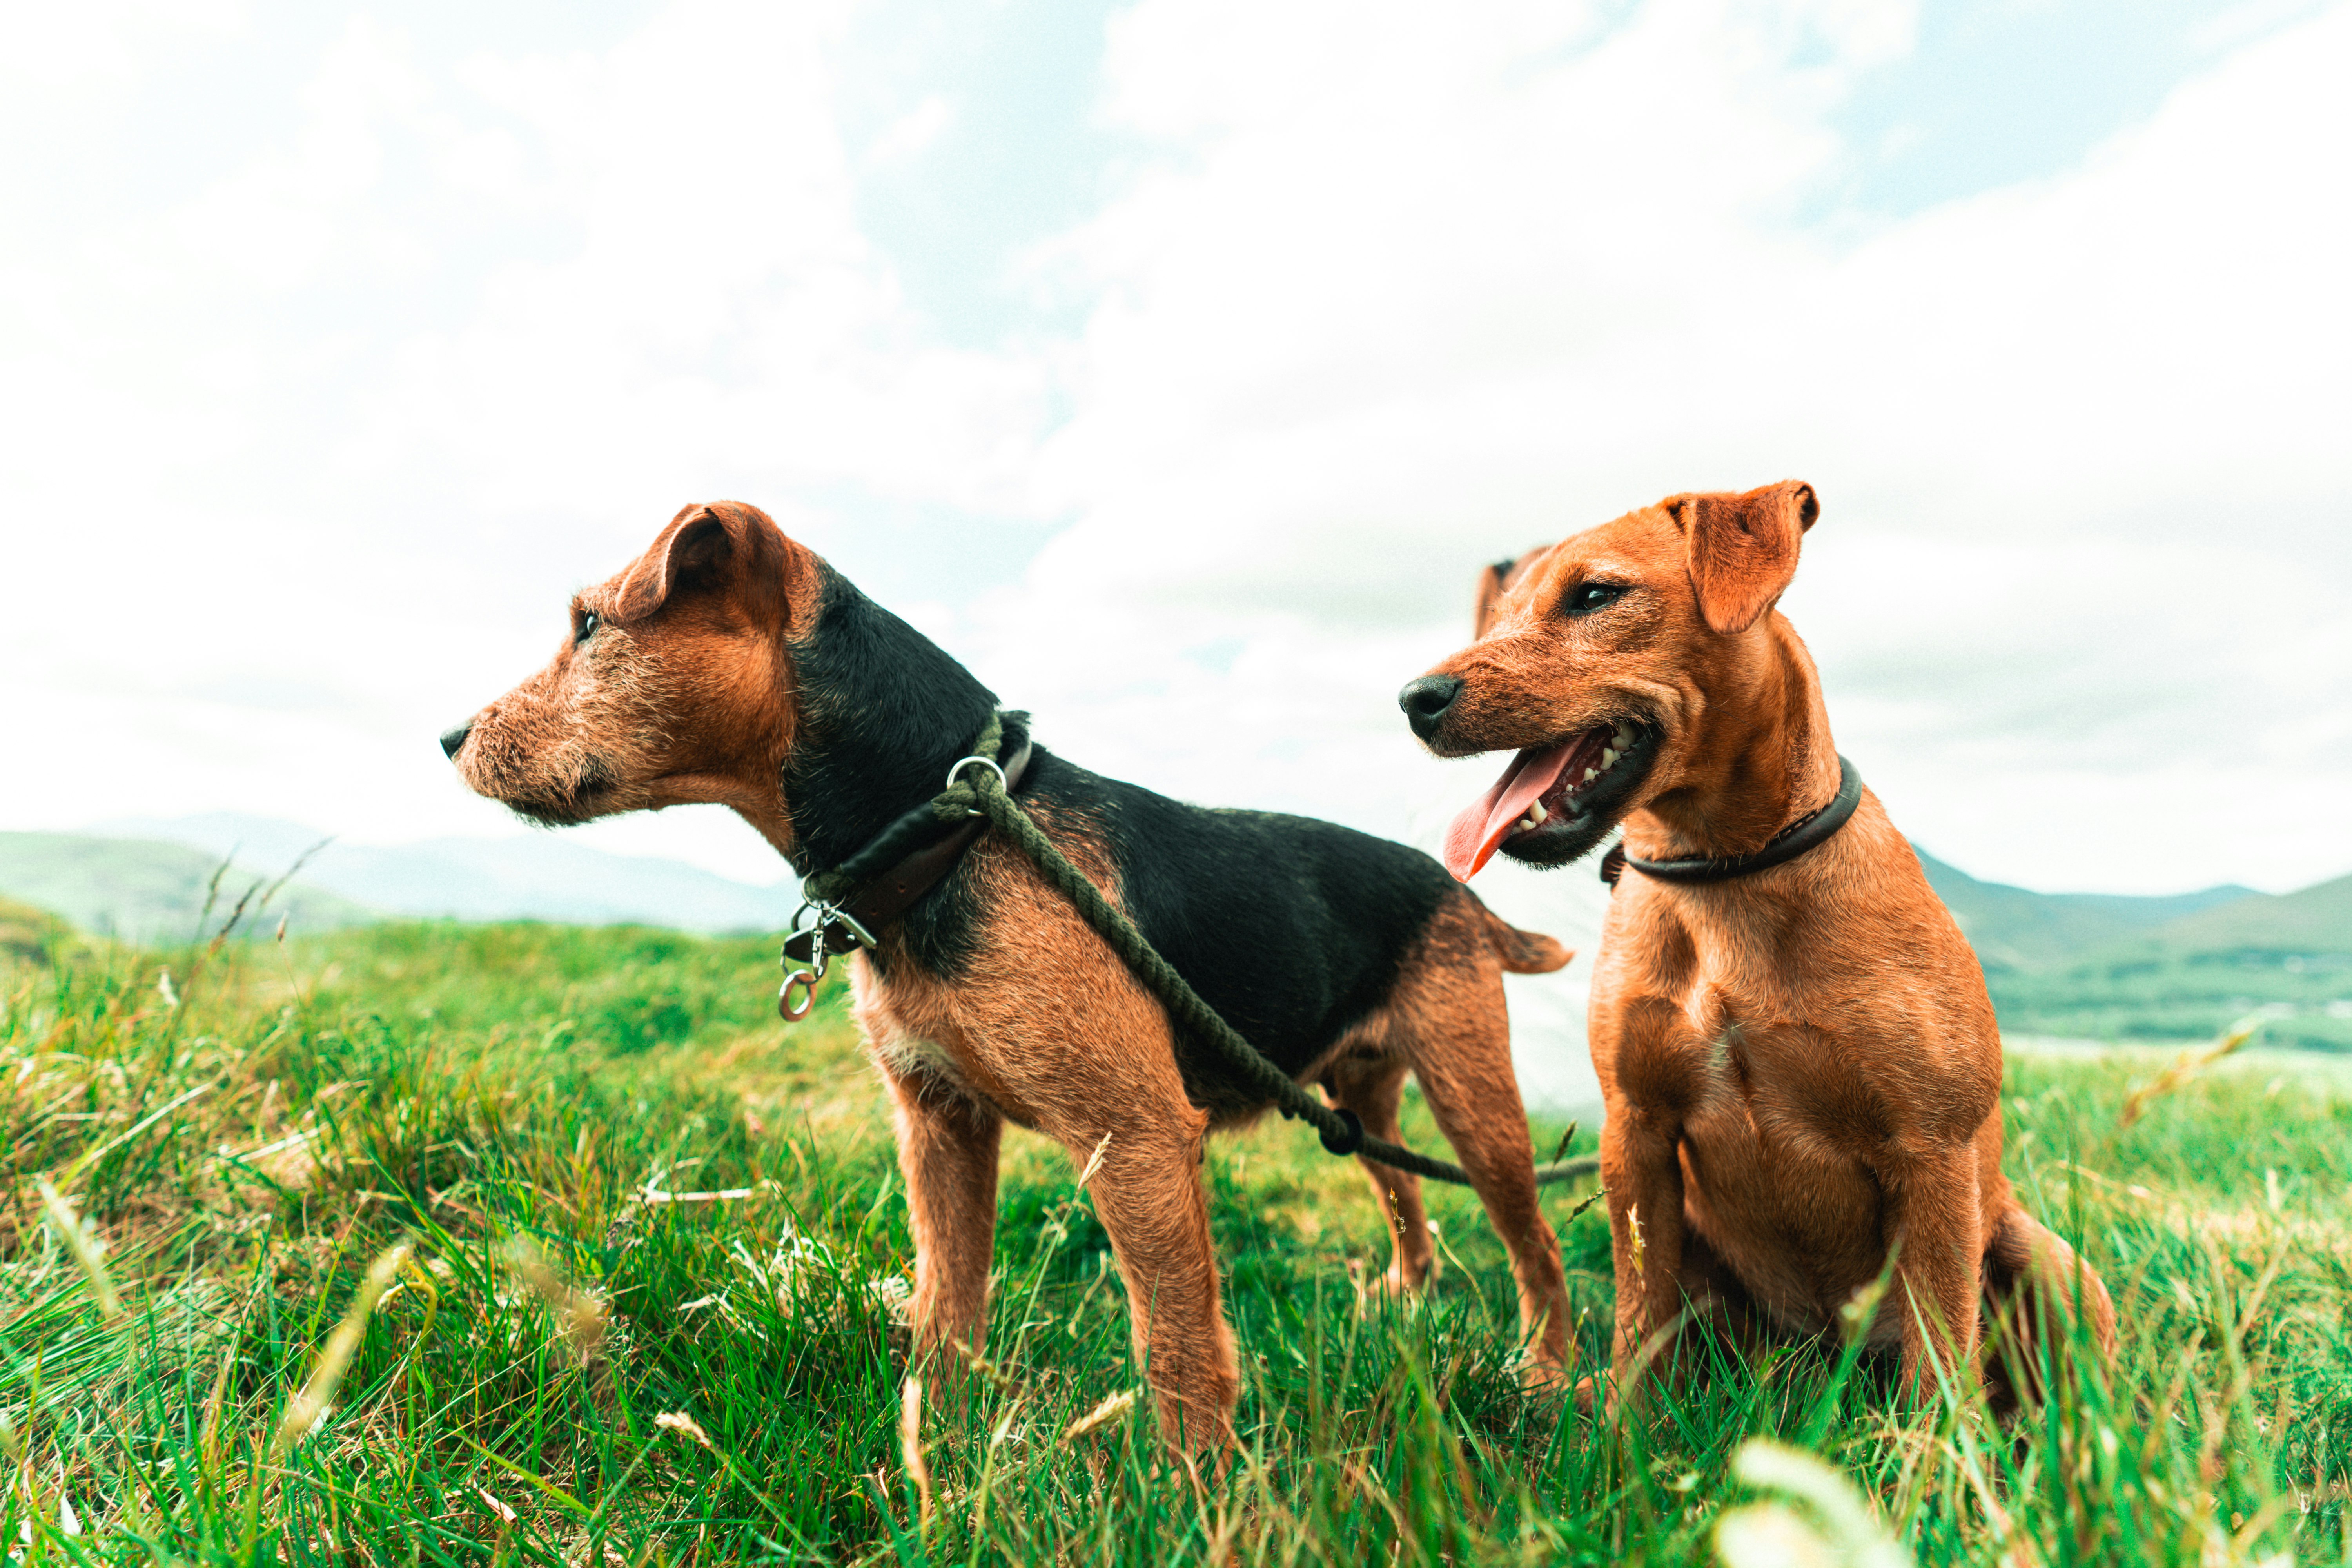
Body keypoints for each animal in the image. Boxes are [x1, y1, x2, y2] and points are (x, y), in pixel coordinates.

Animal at [442, 501, 1581, 1448]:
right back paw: (1406, 1299)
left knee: (1537, 1247)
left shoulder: (1136, 1141)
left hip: (1475, 1100)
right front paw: (935, 1459)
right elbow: (947, 1311)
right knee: (1405, 1196)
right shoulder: (939, 1121)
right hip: (1359, 1094)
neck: (946, 833)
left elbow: (1177, 1347)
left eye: (590, 625)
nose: (450, 736)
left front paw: (1196, 1496)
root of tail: (1454, 889)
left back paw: (1545, 1374)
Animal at [1383, 482, 2126, 1410]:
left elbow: (1938, 1356)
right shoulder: (1638, 1136)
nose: (1415, 699)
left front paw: (1936, 1454)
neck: (1723, 874)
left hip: (2046, 1258)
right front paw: (1623, 1430)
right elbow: (1640, 1317)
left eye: (1595, 595)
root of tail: (1827, 1363)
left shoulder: (1933, 1155)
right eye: (1498, 615)